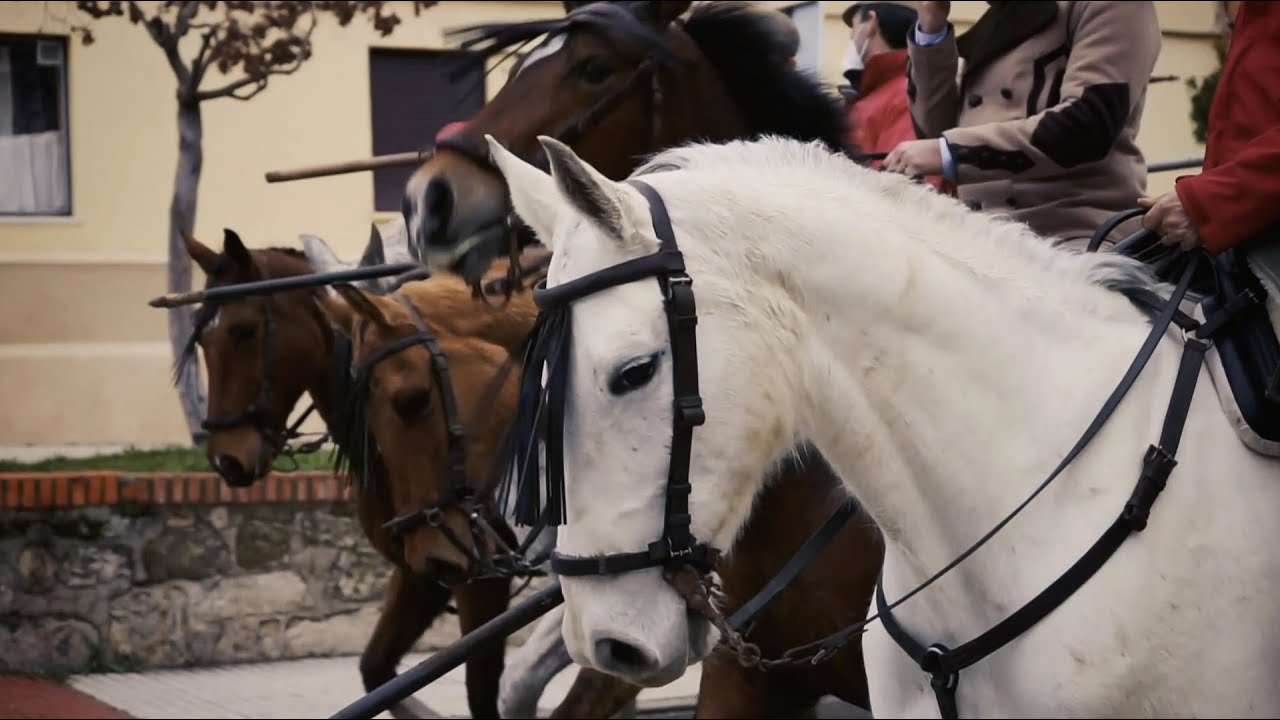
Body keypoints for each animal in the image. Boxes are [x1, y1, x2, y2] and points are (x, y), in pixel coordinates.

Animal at [179, 228, 518, 719]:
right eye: (203, 339)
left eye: (245, 331)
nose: (227, 460)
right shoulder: (425, 569)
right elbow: (375, 669)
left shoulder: (481, 575)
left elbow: (482, 689)